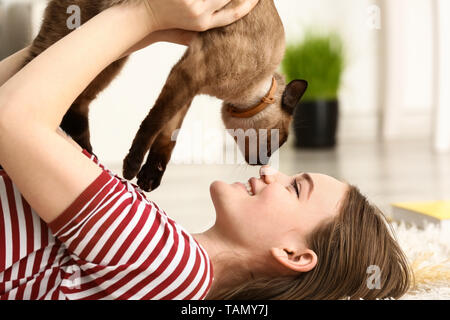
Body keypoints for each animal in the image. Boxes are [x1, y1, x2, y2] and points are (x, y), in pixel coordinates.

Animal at [22, 0, 308, 191]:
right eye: (277, 142)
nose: (263, 163)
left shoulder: (188, 86)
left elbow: (167, 136)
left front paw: (149, 178)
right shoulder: (187, 75)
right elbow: (152, 124)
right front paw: (131, 168)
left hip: (109, 52)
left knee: (74, 100)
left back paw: (87, 155)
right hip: (100, 47)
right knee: (34, 71)